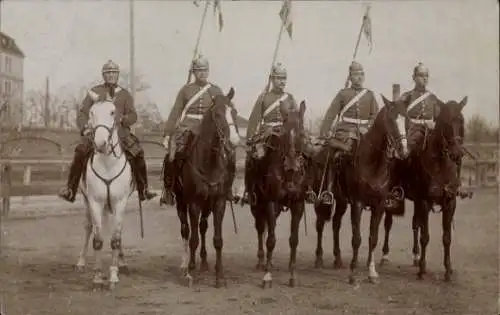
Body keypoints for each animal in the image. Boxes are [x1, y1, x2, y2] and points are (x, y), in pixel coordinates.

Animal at [74, 97, 135, 292]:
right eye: (92, 112)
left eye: (113, 112)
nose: (100, 143)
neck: (108, 163)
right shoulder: (95, 201)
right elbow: (98, 239)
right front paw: (98, 277)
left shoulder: (120, 202)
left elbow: (115, 239)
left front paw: (113, 276)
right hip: (87, 201)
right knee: (88, 227)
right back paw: (81, 262)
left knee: (117, 231)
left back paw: (122, 263)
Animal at [167, 88, 241, 288]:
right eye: (218, 114)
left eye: (234, 112)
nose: (234, 142)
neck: (209, 163)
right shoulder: (194, 204)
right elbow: (193, 239)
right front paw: (191, 272)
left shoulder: (219, 202)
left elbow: (217, 239)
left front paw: (219, 276)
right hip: (181, 203)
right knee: (186, 230)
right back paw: (186, 265)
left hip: (207, 206)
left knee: (202, 227)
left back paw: (205, 262)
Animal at [246, 100, 308, 288]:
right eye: (284, 134)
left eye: (302, 133)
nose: (292, 166)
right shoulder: (270, 203)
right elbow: (271, 240)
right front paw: (267, 276)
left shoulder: (297, 205)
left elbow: (294, 240)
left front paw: (293, 275)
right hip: (256, 205)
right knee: (261, 229)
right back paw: (262, 261)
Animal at [380, 96, 466, 282]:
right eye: (446, 123)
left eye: (461, 121)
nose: (457, 154)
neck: (440, 164)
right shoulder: (425, 201)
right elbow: (425, 236)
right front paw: (422, 269)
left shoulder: (450, 203)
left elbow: (446, 238)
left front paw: (448, 270)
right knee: (389, 223)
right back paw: (385, 255)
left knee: (415, 223)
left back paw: (415, 256)